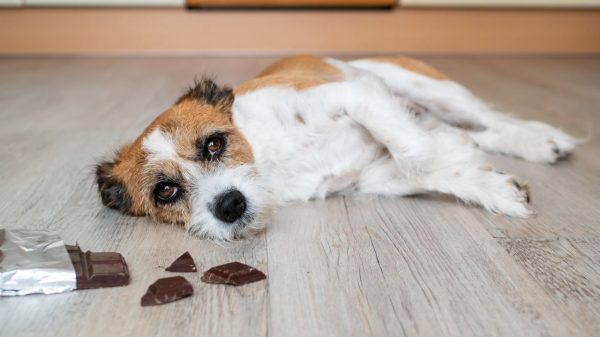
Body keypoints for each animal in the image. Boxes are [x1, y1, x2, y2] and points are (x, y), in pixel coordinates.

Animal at [96, 55, 580, 240]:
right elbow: (425, 167)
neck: (269, 158)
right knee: (479, 131)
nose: (229, 205)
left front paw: (455, 156)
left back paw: (541, 140)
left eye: (214, 144)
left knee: (491, 120)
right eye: (165, 191)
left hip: (429, 87)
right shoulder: (374, 177)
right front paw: (491, 185)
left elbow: (416, 152)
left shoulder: (353, 93)